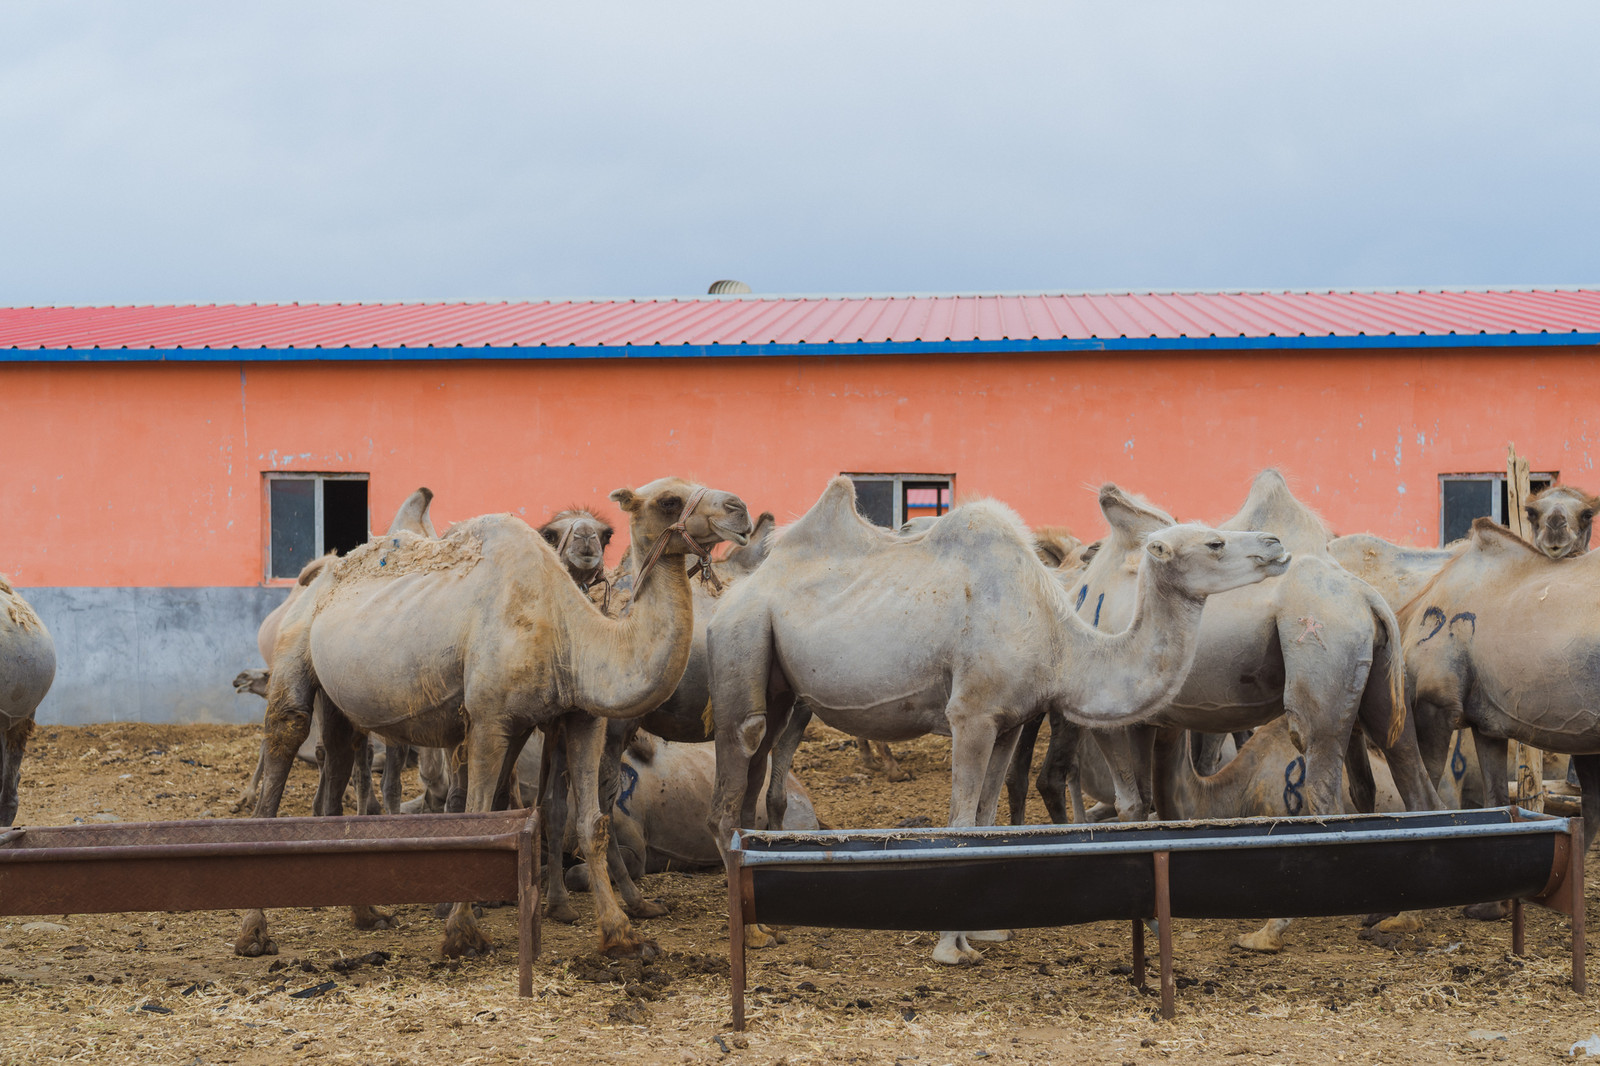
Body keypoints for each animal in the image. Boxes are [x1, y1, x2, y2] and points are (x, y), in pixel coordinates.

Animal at [237, 477, 752, 962]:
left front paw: (622, 935)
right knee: (285, 736)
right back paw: (254, 932)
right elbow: (479, 815)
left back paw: (366, 914)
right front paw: (462, 934)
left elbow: (593, 823)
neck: (570, 635)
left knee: (339, 758)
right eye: (669, 500)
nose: (740, 509)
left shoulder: (578, 719)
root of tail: (321, 575)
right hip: (294, 655)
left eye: (605, 534)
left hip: (341, 703)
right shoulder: (487, 718)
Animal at [706, 477, 1290, 965]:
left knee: (755, 768)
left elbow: (985, 819)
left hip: (779, 682)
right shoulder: (973, 713)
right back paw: (751, 932)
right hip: (743, 637)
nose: (1277, 545)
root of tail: (734, 591)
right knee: (735, 770)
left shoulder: (1009, 720)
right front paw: (950, 946)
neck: (1060, 643)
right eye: (1214, 542)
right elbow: (960, 823)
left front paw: (984, 930)